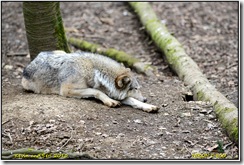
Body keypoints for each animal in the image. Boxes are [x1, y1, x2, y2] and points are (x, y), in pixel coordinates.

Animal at [21, 50, 159, 112]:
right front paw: (110, 101)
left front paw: (148, 106)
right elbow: (96, 91)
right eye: (135, 88)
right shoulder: (67, 90)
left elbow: (132, 100)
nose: (146, 99)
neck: (94, 72)